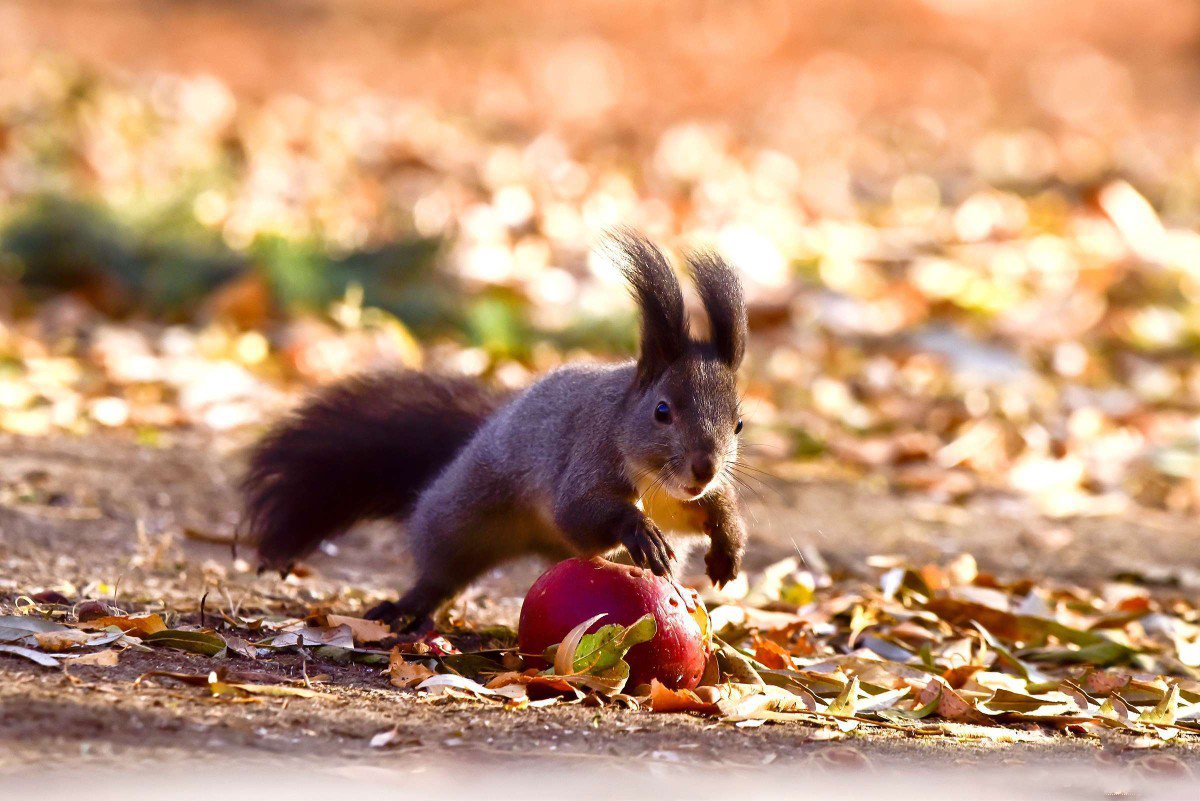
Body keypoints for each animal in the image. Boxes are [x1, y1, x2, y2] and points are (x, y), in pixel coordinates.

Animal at [241, 232, 748, 633]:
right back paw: (408, 607)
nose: (704, 468)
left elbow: (715, 508)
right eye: (662, 411)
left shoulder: (686, 500)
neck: (655, 482)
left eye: (739, 423)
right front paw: (640, 531)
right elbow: (578, 512)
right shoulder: (587, 456)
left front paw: (728, 543)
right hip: (463, 515)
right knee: (442, 570)